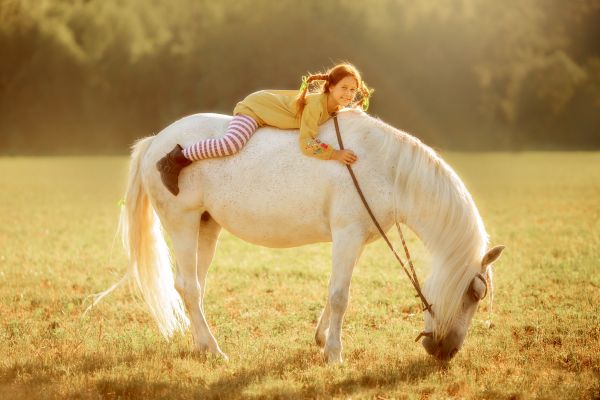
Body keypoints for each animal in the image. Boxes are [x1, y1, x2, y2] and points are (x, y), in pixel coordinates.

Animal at [117, 108, 502, 364]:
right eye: (474, 294)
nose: (446, 352)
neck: (385, 167)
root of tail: (156, 143)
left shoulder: (354, 241)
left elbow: (334, 289)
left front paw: (321, 338)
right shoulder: (347, 235)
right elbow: (340, 296)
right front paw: (334, 353)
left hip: (206, 227)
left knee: (193, 284)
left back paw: (200, 345)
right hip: (182, 224)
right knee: (189, 286)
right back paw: (214, 349)